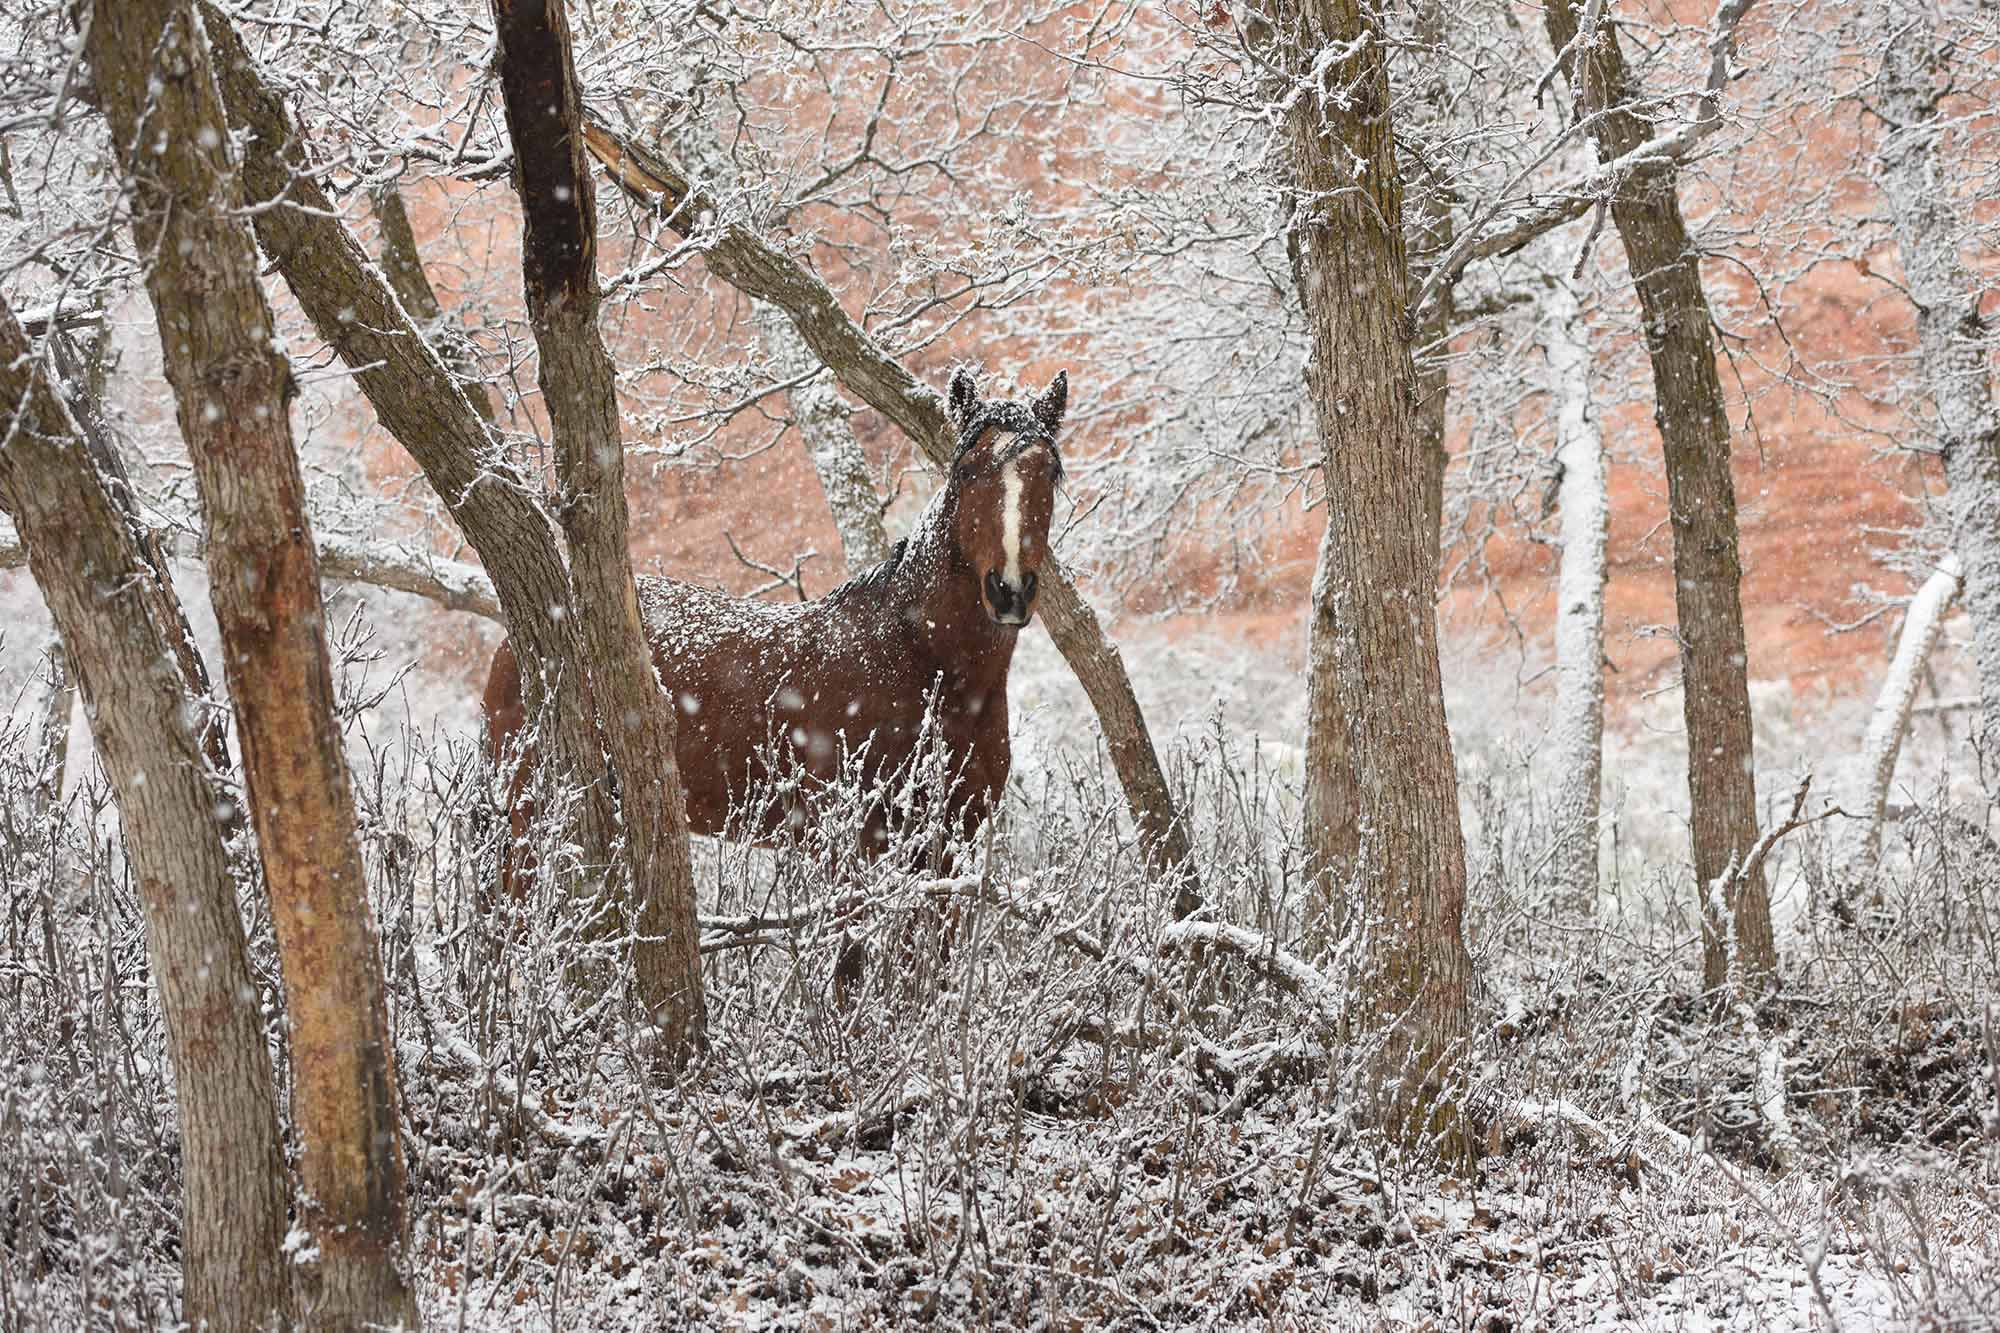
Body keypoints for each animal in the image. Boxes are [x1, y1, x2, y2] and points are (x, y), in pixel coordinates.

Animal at [482, 366, 1067, 946]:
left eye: (1049, 474)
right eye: (966, 471)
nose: (1009, 589)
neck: (918, 662)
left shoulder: (946, 851)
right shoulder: (849, 847)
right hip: (530, 819)